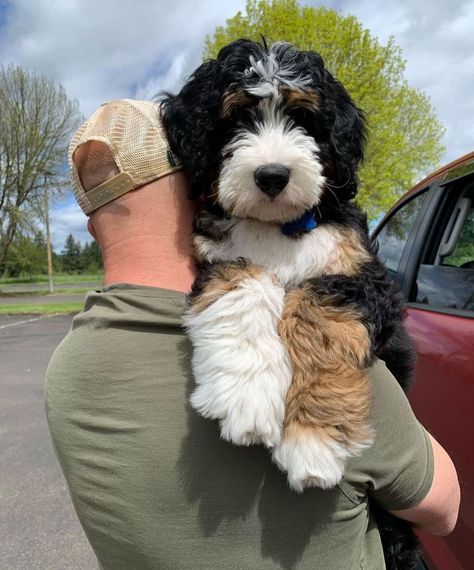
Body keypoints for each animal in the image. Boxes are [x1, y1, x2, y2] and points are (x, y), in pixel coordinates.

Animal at [160, 38, 414, 492]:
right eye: (237, 119)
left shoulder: (364, 280)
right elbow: (246, 282)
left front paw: (312, 438)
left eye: (302, 119)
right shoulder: (217, 256)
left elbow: (318, 313)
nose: (272, 175)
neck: (277, 226)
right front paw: (247, 396)